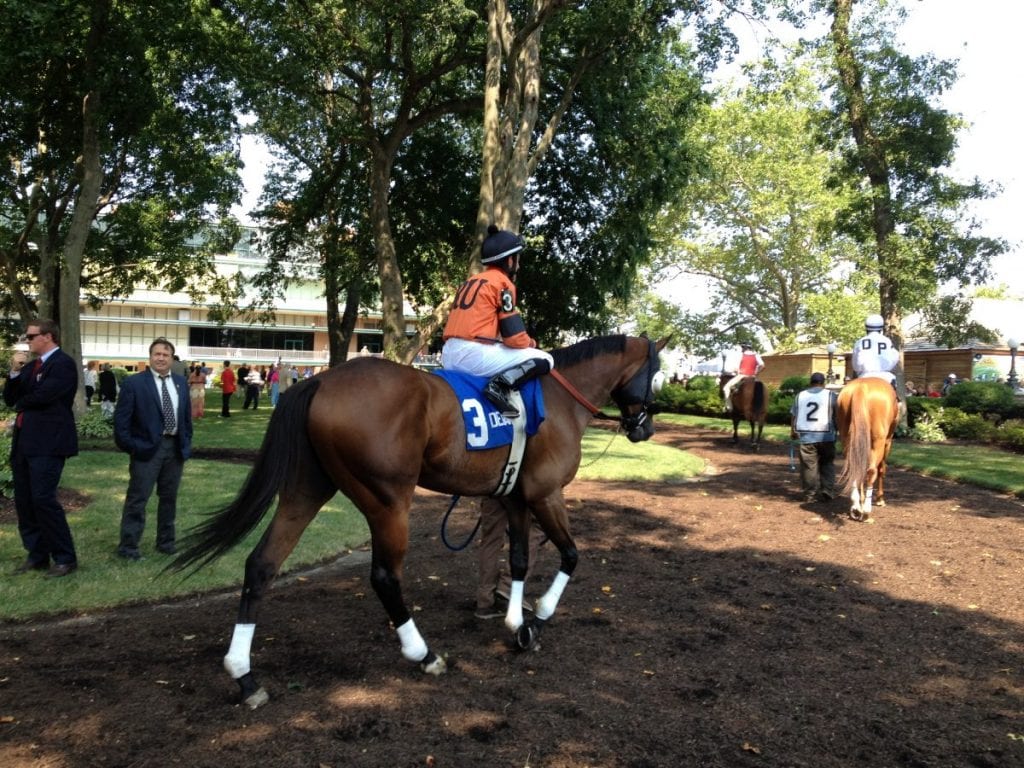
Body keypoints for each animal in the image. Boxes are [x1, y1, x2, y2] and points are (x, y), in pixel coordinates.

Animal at [174, 333, 671, 708]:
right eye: (657, 371)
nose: (645, 427)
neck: (559, 399)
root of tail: (320, 382)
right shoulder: (545, 494)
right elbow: (570, 554)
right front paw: (538, 618)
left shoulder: (514, 497)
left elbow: (518, 559)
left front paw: (515, 623)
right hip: (389, 501)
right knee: (384, 576)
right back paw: (423, 653)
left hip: (305, 489)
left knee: (262, 564)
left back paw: (245, 676)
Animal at [839, 378, 897, 524]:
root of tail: (860, 388)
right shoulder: (887, 441)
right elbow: (882, 468)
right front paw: (880, 499)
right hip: (879, 441)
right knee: (872, 471)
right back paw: (866, 511)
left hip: (847, 439)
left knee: (854, 469)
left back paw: (856, 507)